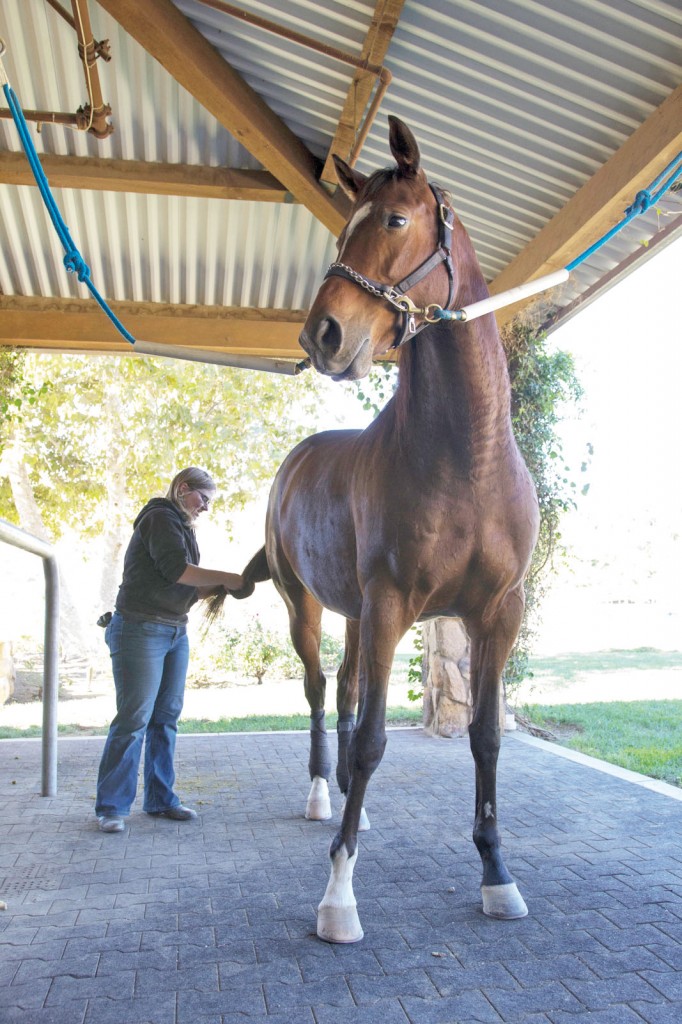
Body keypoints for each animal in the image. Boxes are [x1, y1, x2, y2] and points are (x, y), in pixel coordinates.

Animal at [212, 116, 536, 937]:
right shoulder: (392, 604)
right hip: (310, 608)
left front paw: (497, 875)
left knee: (350, 693)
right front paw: (338, 896)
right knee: (323, 693)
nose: (322, 336)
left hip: (358, 616)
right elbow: (372, 743)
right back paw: (320, 798)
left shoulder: (497, 613)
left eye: (393, 220)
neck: (466, 458)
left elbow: (485, 738)